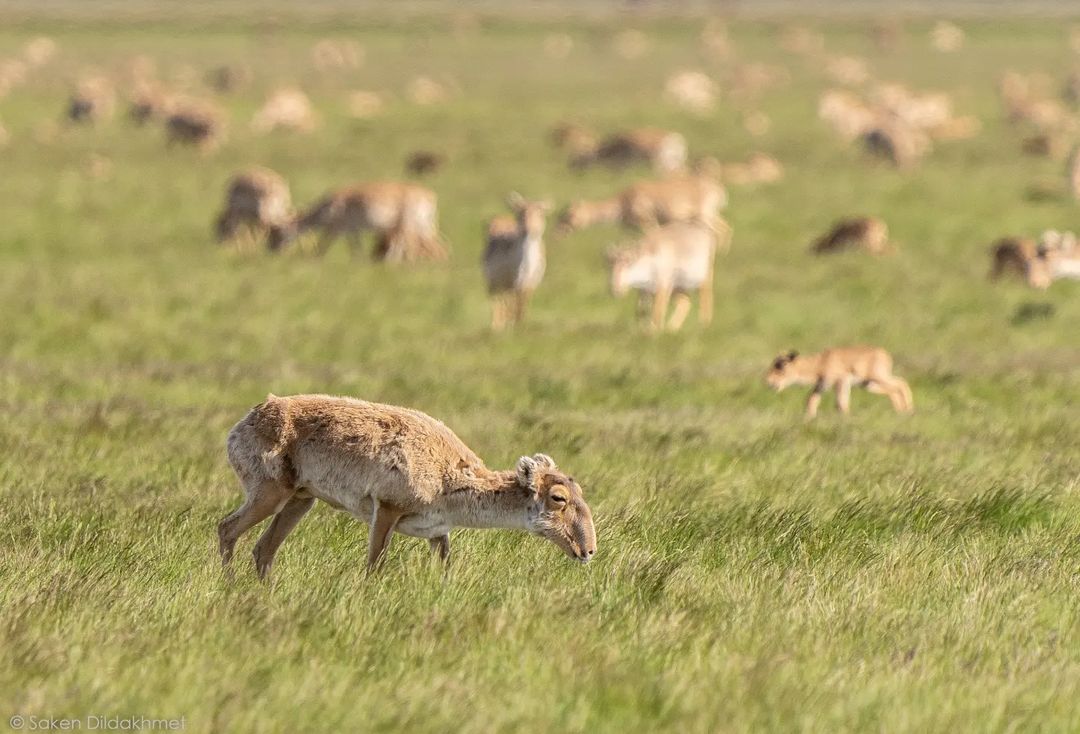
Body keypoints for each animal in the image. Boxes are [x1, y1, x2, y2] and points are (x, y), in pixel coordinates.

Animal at [214, 395, 596, 578]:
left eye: (580, 493)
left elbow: (444, 568)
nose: (589, 550)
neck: (448, 477)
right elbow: (373, 565)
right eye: (558, 497)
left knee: (263, 550)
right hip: (270, 493)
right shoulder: (386, 509)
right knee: (227, 528)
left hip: (300, 501)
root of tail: (247, 419)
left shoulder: (437, 532)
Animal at [270, 180, 447, 261]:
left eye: (277, 231)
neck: (328, 206)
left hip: (409, 225)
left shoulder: (336, 229)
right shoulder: (352, 231)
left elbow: (321, 247)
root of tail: (430, 195)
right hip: (423, 225)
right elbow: (357, 250)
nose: (270, 250)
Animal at [483, 192, 552, 330]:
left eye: (541, 213)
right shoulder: (511, 281)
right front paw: (510, 326)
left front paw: (520, 324)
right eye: (521, 213)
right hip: (492, 280)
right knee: (497, 299)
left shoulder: (531, 282)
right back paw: (497, 325)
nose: (530, 229)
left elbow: (522, 304)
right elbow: (512, 304)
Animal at [557, 174, 725, 235]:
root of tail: (719, 189)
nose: (557, 233)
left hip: (705, 216)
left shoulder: (649, 221)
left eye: (569, 214)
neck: (622, 200)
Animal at [764, 347, 915, 420]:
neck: (819, 363)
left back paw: (908, 410)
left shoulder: (841, 382)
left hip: (877, 378)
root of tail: (885, 353)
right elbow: (811, 400)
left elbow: (841, 403)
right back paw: (903, 411)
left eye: (781, 366)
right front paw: (809, 418)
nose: (768, 382)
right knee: (896, 386)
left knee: (900, 384)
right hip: (869, 384)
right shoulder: (821, 386)